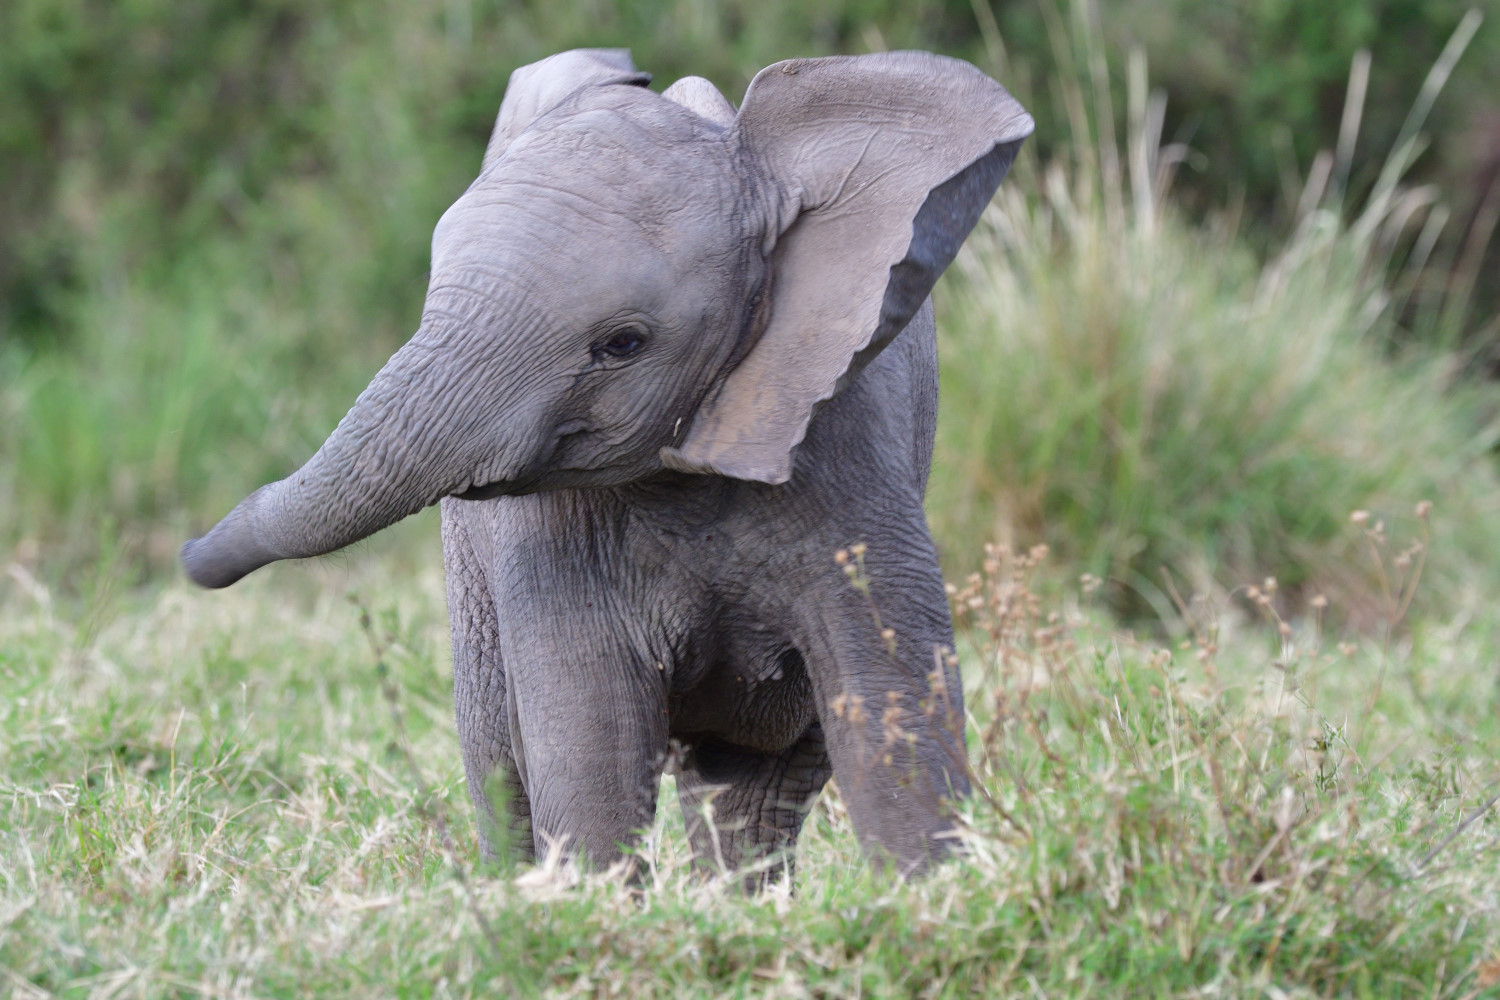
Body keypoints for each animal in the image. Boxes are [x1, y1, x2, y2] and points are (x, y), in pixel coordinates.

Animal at [184, 48, 1032, 881]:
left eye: (622, 344)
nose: (193, 559)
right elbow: (591, 726)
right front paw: (584, 906)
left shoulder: (846, 439)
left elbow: (887, 693)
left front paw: (933, 894)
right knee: (500, 758)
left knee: (760, 781)